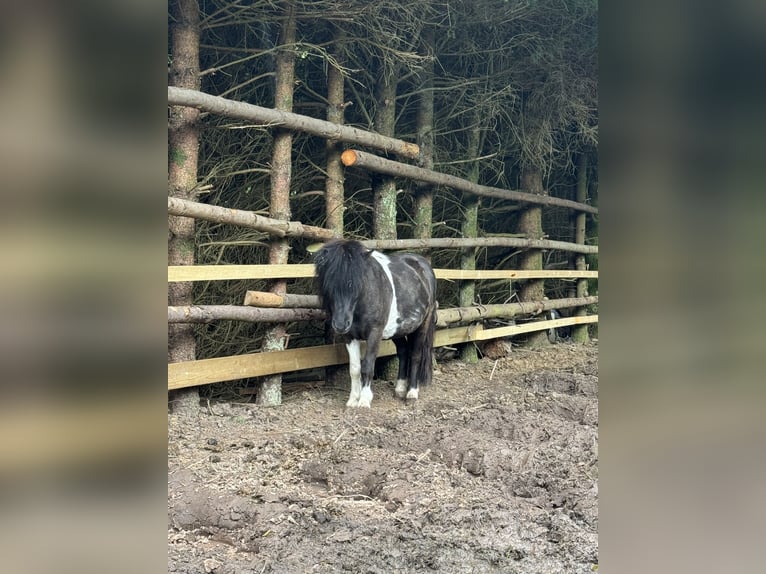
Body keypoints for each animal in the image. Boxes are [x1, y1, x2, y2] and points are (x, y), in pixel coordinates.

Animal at [316, 240, 438, 410]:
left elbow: (368, 366)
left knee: (415, 355)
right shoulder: (349, 337)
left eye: (357, 284)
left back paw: (412, 393)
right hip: (397, 330)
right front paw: (353, 400)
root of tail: (423, 265)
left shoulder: (375, 333)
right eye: (328, 285)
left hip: (423, 325)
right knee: (403, 352)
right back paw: (400, 389)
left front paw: (364, 400)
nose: (340, 324)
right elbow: (355, 368)